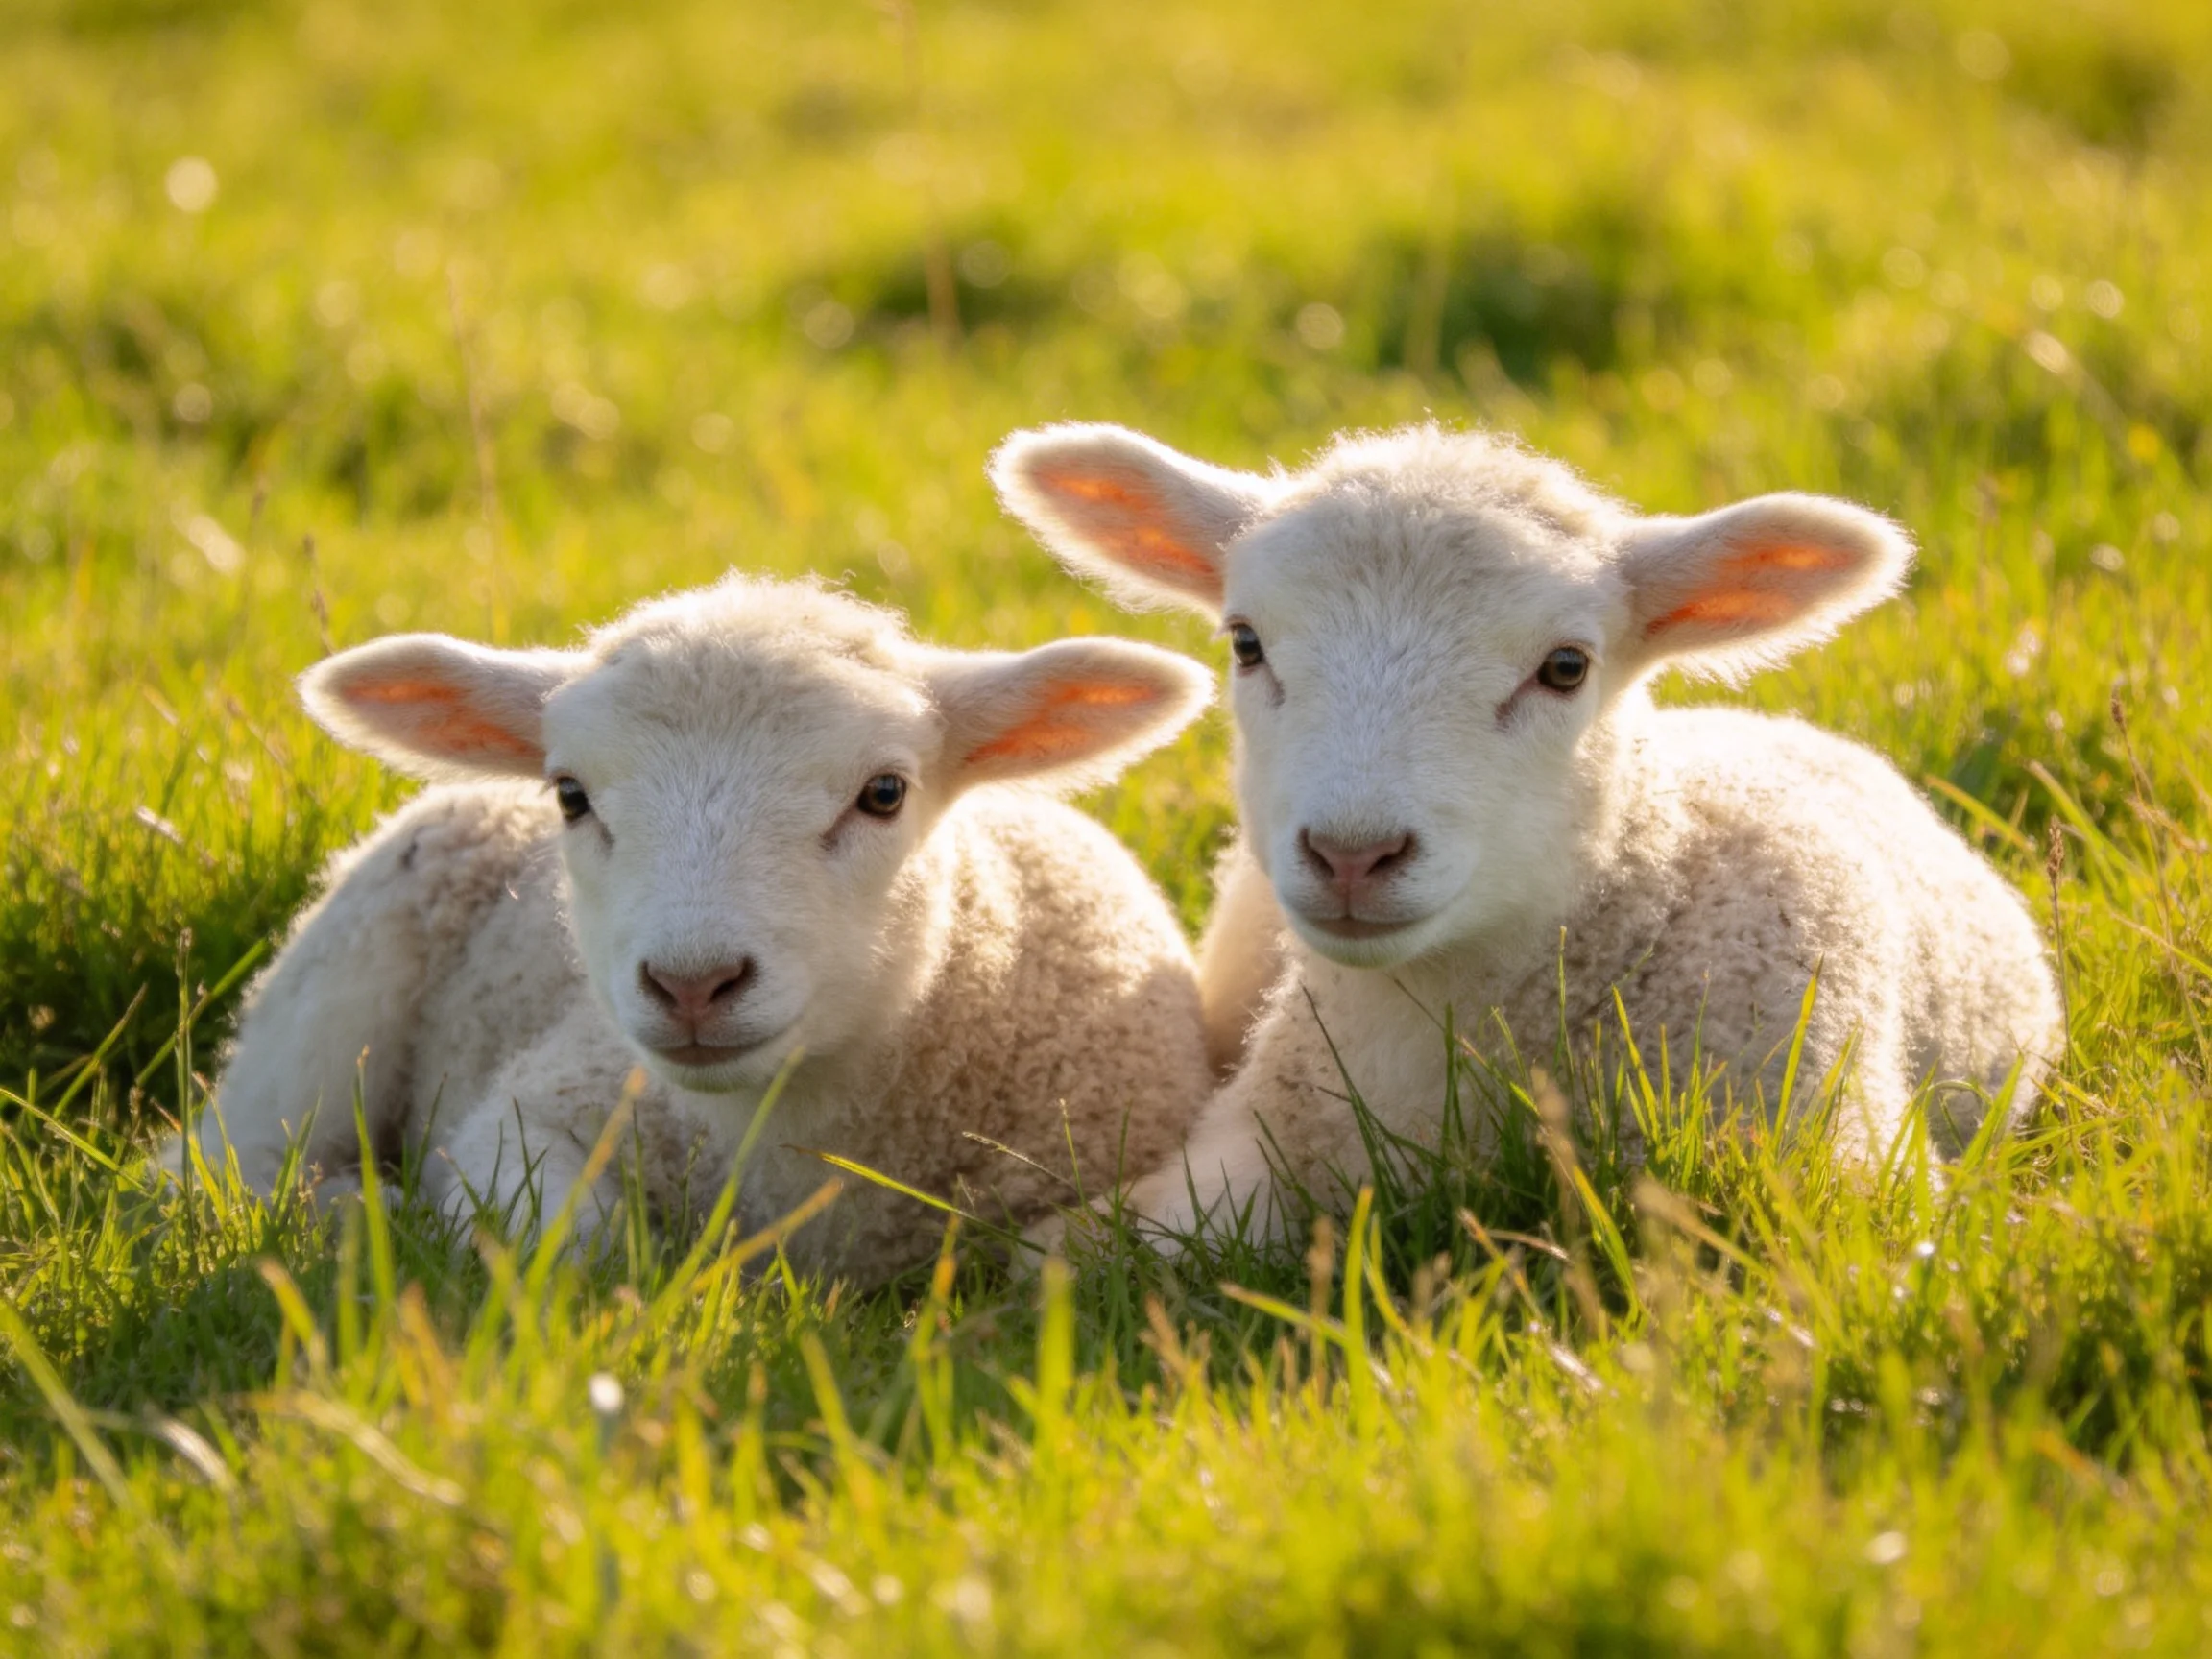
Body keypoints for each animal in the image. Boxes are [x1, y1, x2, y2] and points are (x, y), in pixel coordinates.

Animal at [179, 574, 1217, 1281]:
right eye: (571, 794)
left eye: (884, 792)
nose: (692, 983)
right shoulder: (531, 1110)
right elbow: (582, 1245)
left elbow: (1053, 1258)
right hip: (332, 995)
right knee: (211, 1164)